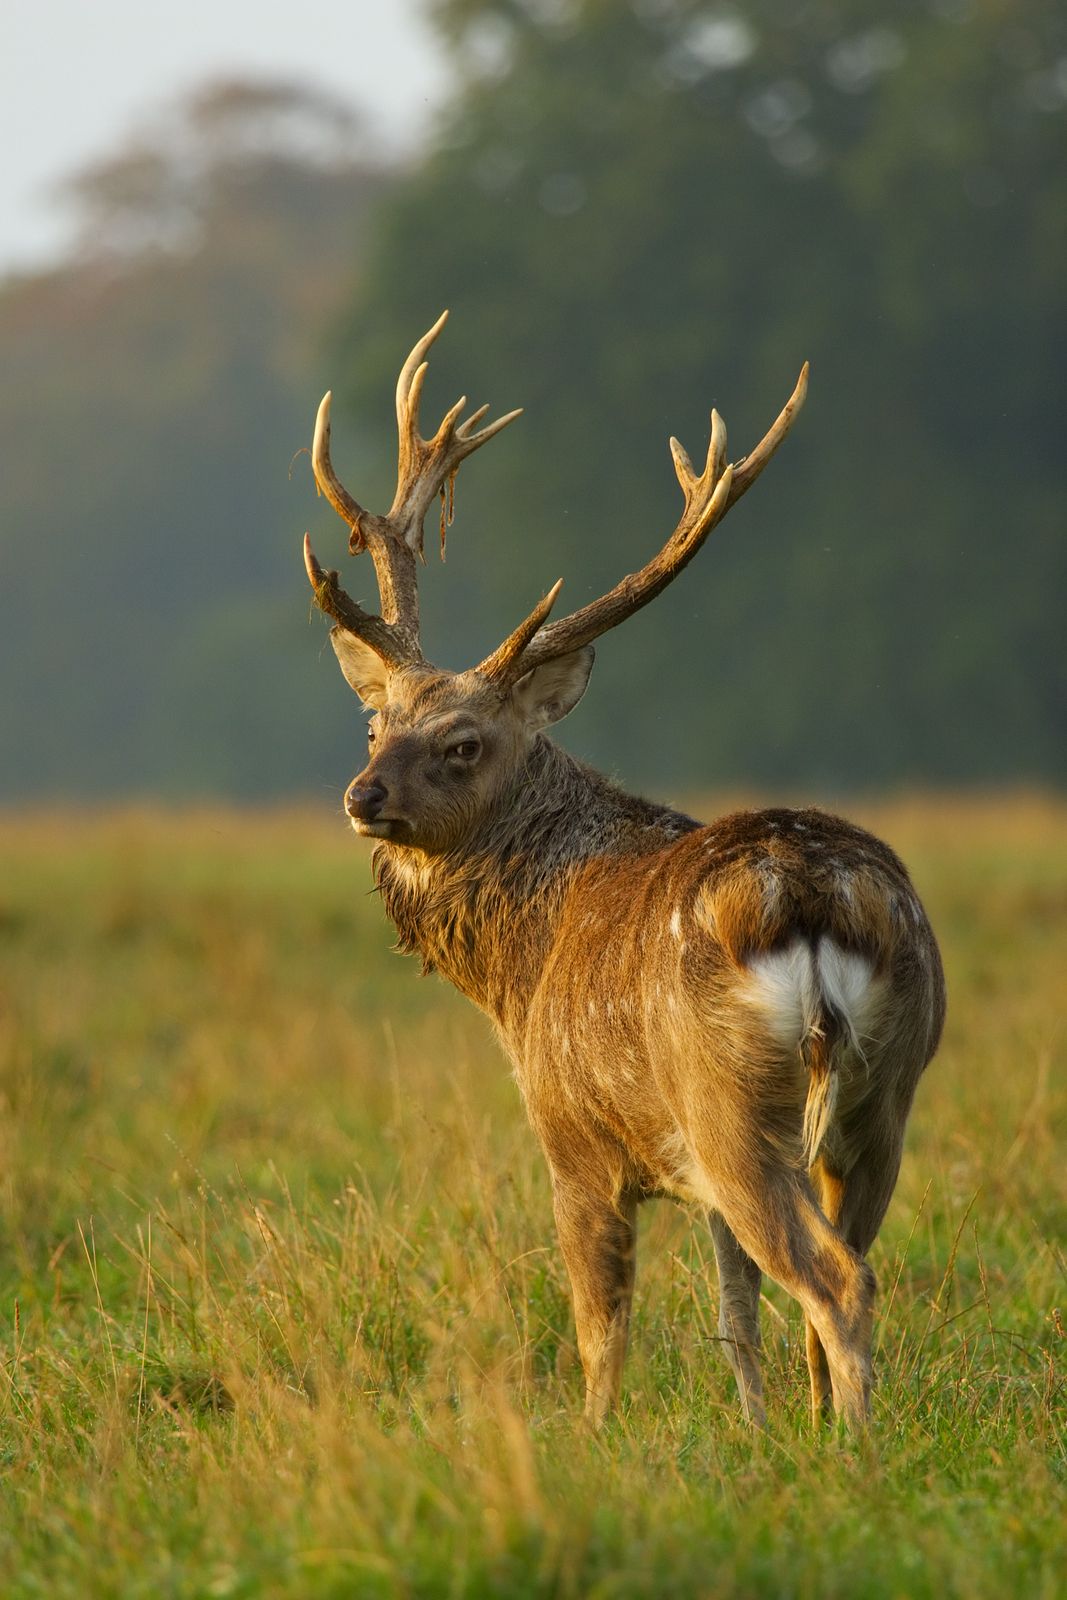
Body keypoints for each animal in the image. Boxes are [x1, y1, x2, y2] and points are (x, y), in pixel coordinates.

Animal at [300, 308, 940, 1427]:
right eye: (375, 722)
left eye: (463, 742)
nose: (361, 796)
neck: (516, 969)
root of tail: (810, 892)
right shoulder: (698, 1174)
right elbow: (734, 1314)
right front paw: (758, 1432)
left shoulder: (574, 1139)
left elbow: (600, 1331)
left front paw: (594, 1440)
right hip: (882, 1093)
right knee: (837, 1267)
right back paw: (829, 1428)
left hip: (726, 1101)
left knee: (834, 1281)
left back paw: (857, 1452)